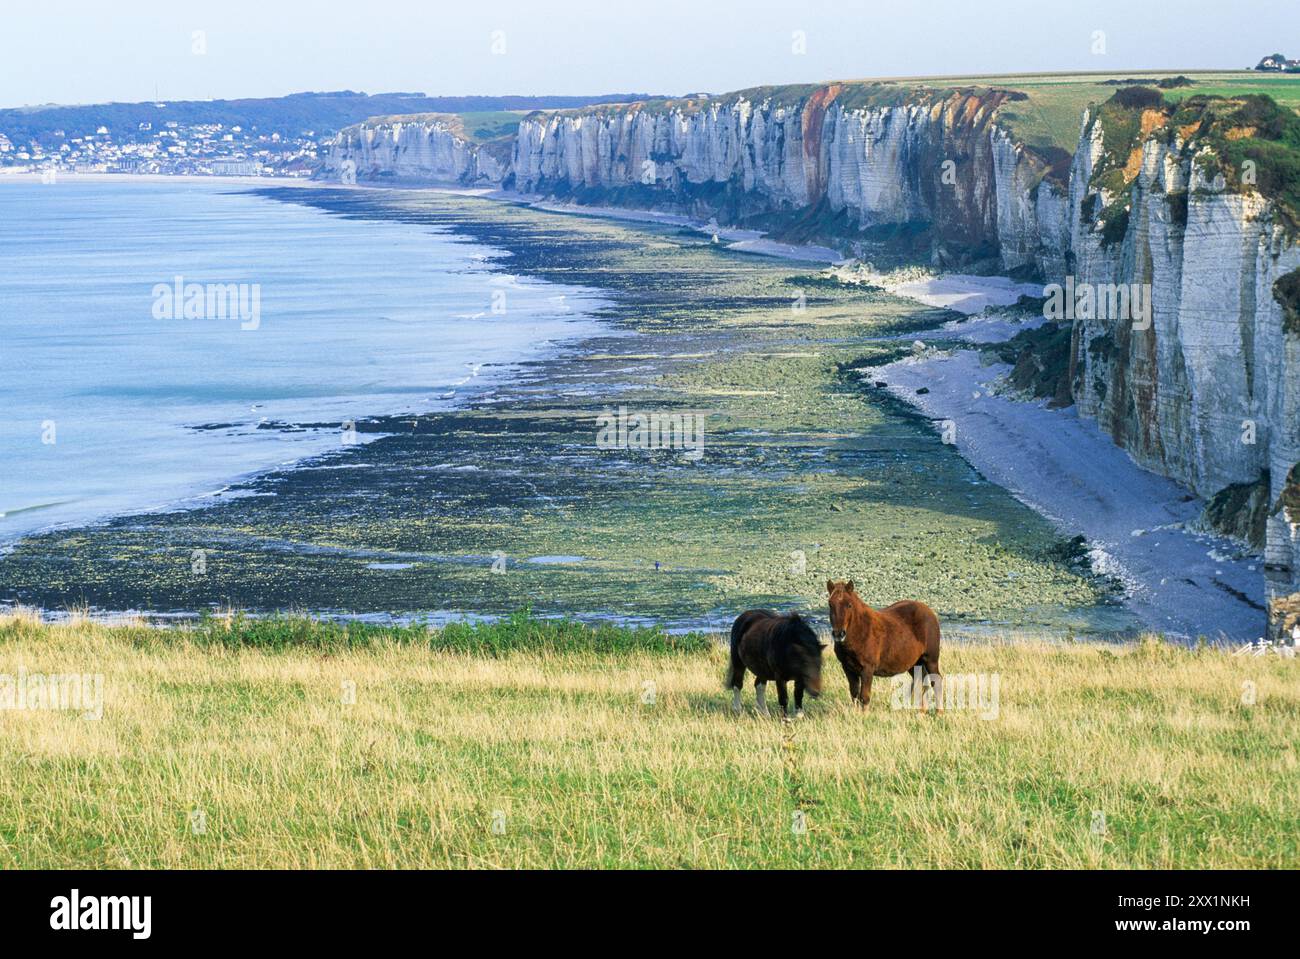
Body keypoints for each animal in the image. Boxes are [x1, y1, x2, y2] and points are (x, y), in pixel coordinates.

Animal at [826, 580, 941, 711]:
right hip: (914, 663)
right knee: (920, 682)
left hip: (931, 660)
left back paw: (939, 712)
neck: (860, 631)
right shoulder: (848, 668)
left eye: (849, 605)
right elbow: (854, 695)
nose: (839, 634)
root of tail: (930, 612)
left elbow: (864, 697)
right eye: (830, 604)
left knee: (936, 681)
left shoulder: (867, 669)